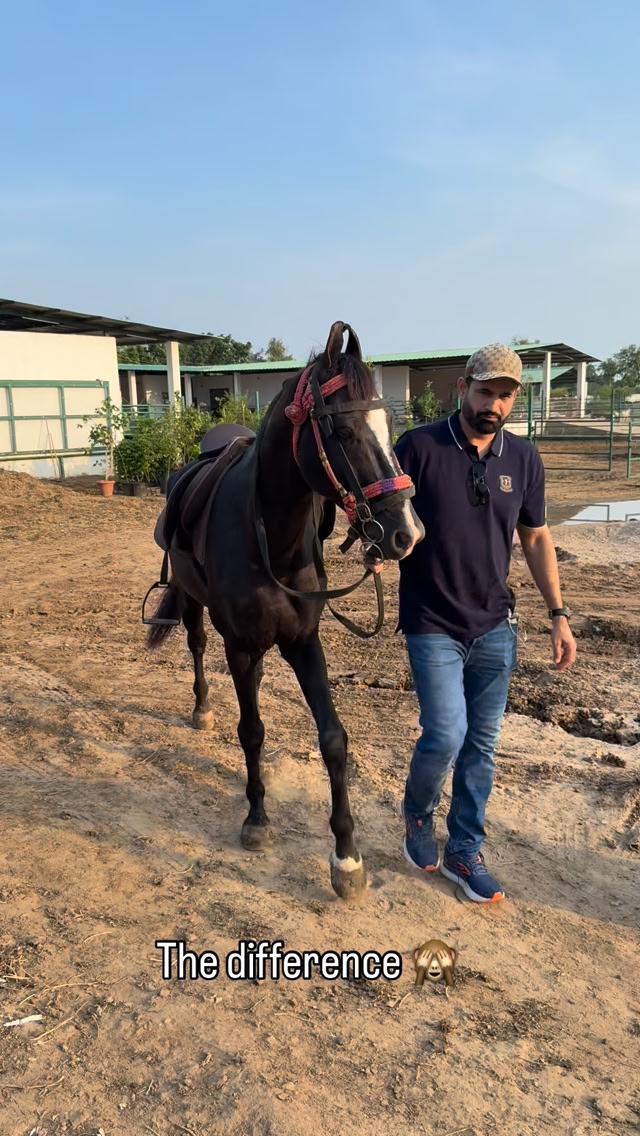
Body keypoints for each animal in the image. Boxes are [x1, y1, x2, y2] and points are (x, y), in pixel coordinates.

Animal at [145, 321, 424, 900]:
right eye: (344, 432)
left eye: (389, 424)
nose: (407, 534)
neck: (269, 536)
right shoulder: (239, 646)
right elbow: (251, 730)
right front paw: (257, 819)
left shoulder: (302, 642)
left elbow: (334, 738)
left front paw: (347, 857)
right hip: (194, 604)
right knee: (197, 648)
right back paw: (202, 708)